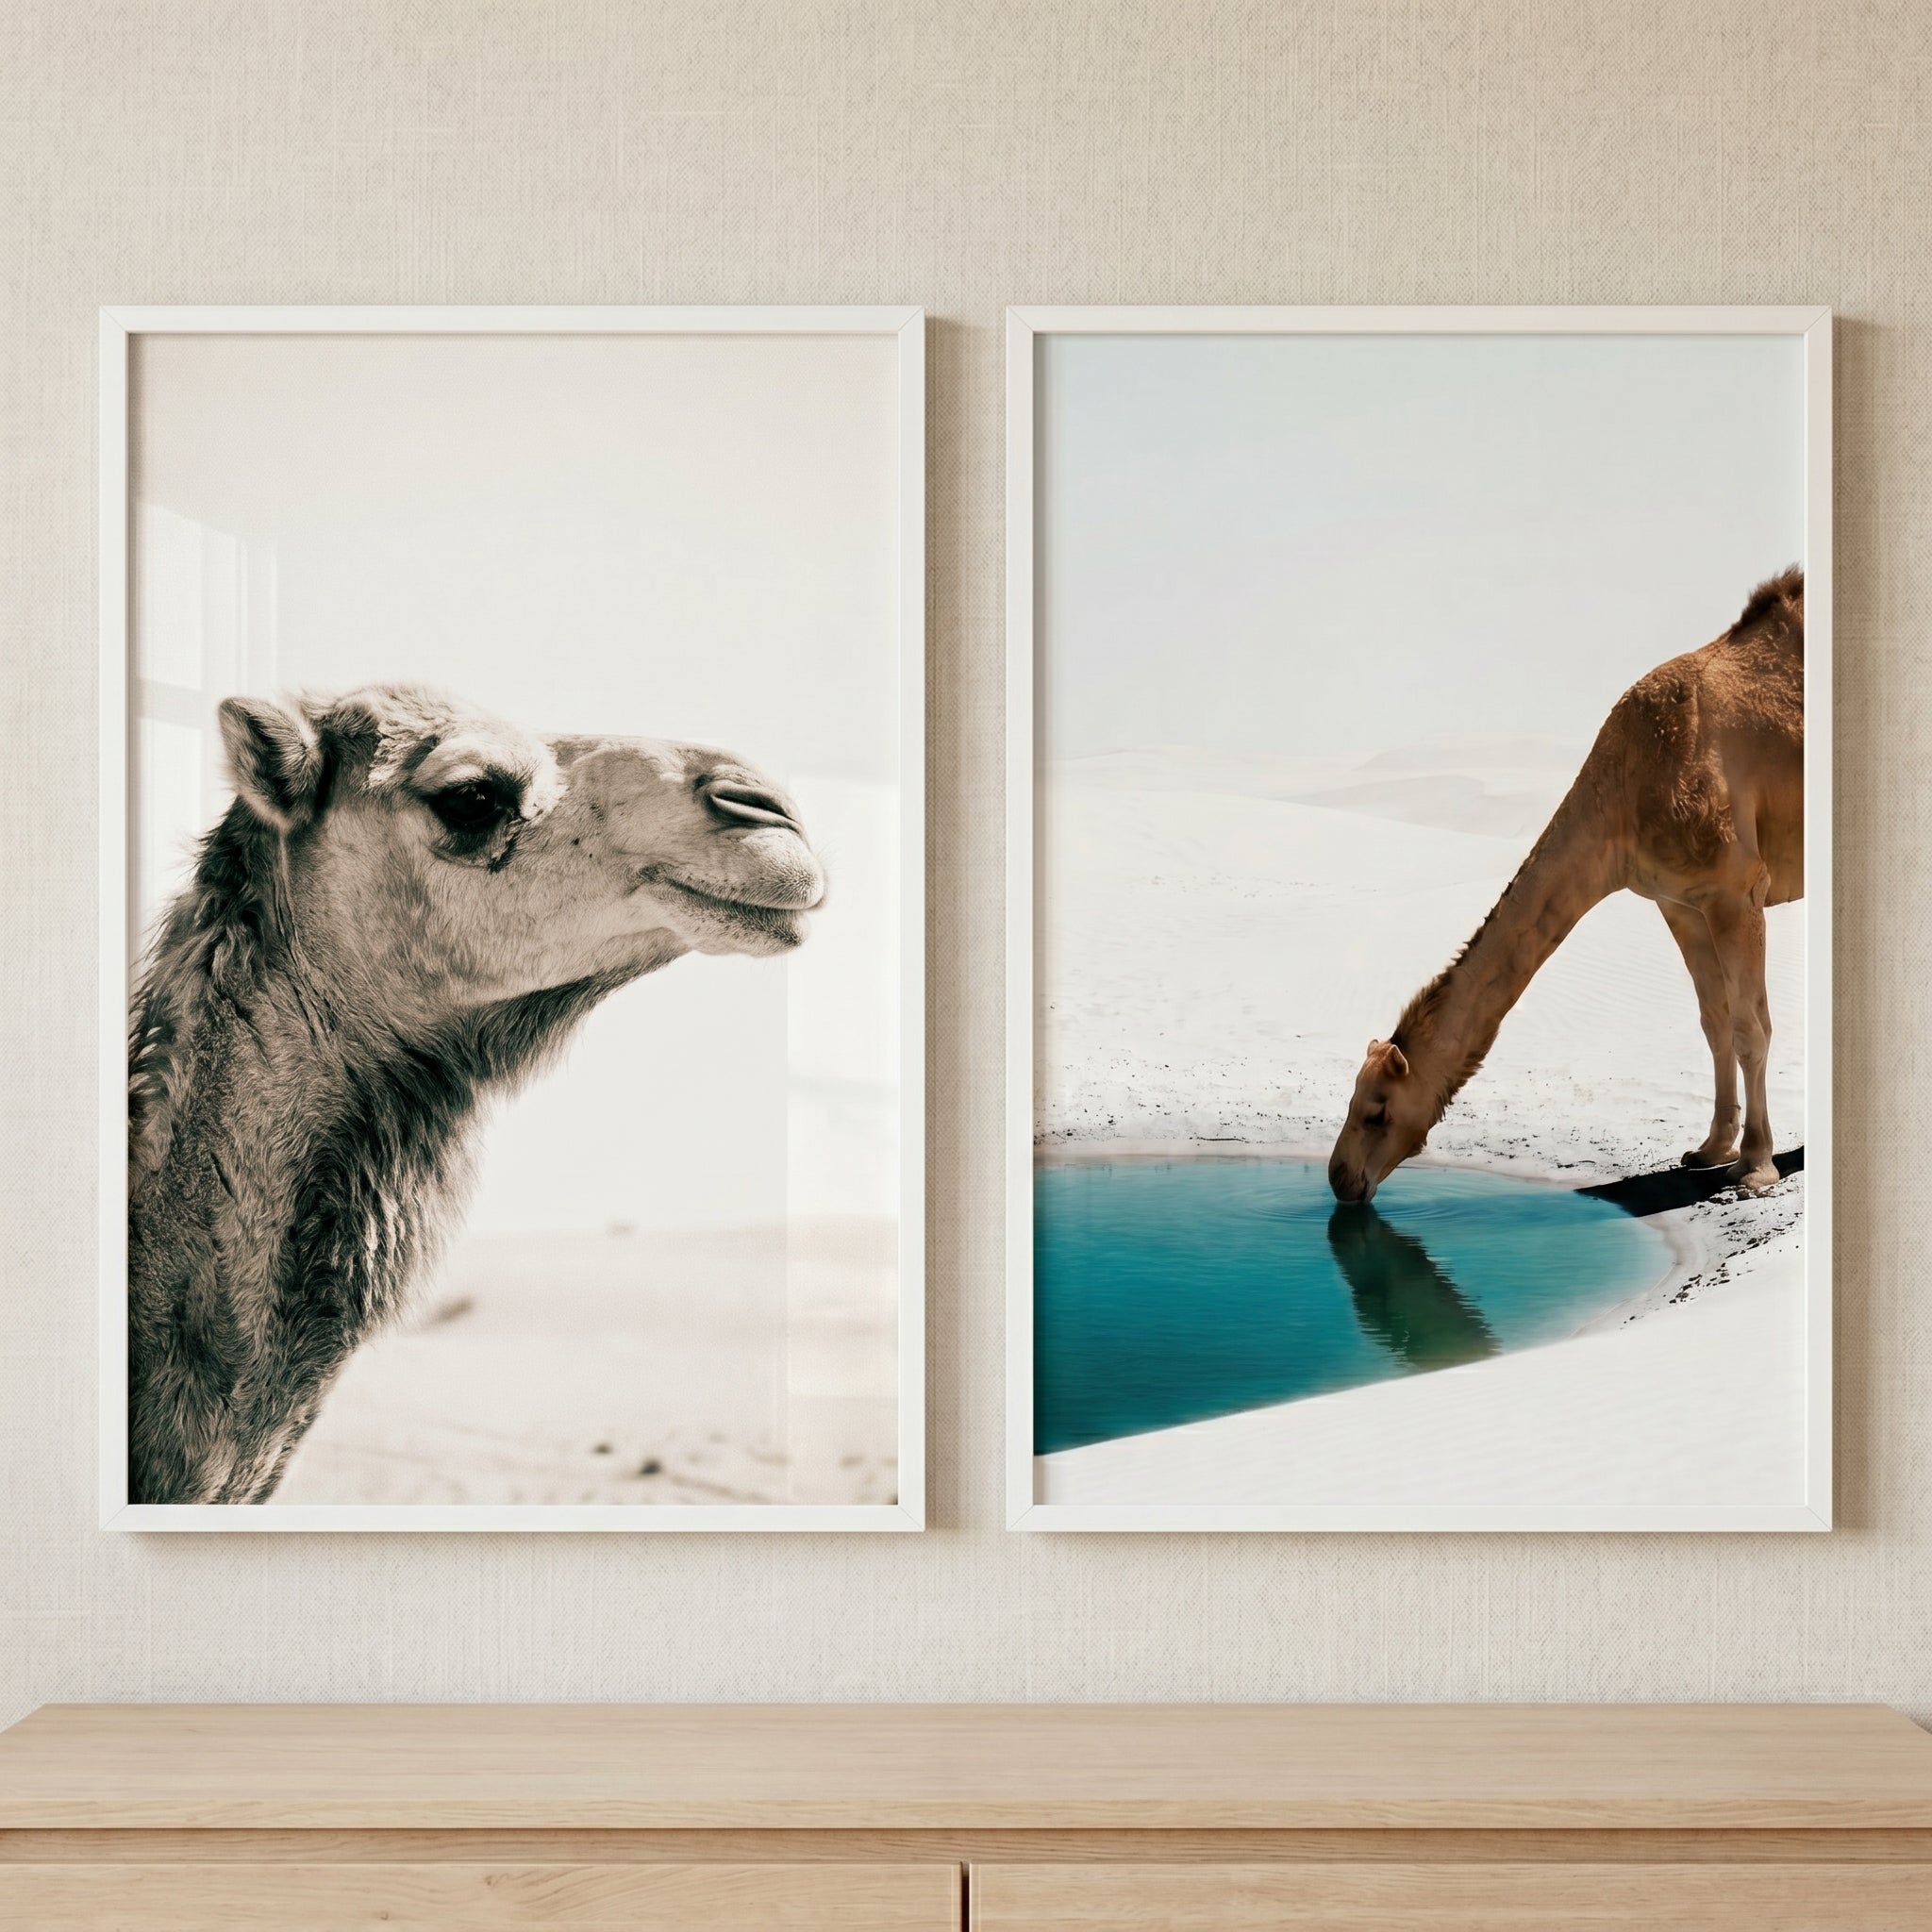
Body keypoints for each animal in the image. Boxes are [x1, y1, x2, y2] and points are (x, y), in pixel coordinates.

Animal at [1329, 568, 1804, 1206]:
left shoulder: (1736, 889)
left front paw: (1754, 1165)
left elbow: (1752, 1026)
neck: (1627, 787)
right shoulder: (1679, 900)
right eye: (1351, 1102)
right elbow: (1715, 1021)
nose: (1339, 1178)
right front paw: (1710, 1149)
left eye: (1377, 1111)